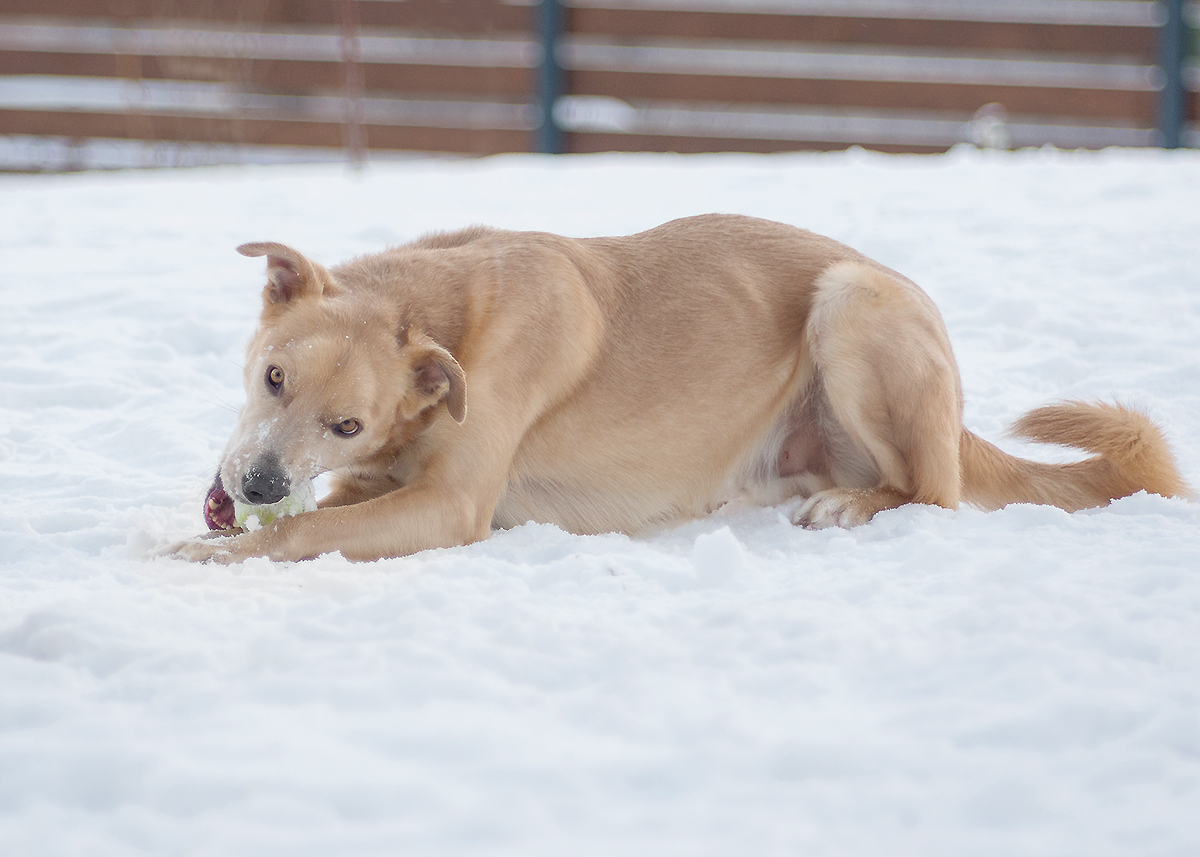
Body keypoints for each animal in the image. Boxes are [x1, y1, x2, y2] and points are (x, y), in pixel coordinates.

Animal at [171, 212, 1190, 561]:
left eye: (345, 421)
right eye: (271, 376)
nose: (258, 481)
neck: (445, 314)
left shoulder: (451, 505)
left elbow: (298, 533)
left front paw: (203, 555)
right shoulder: (377, 481)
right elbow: (315, 512)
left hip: (851, 305)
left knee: (931, 493)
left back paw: (855, 509)